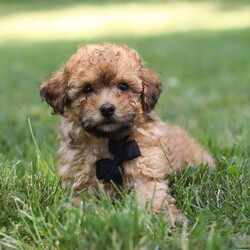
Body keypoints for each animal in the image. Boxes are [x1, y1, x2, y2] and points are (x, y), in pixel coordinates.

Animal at [39, 43, 215, 225]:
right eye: (87, 88)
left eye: (123, 86)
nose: (107, 108)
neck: (111, 141)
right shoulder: (79, 177)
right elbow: (81, 202)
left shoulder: (146, 166)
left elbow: (150, 195)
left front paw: (162, 219)